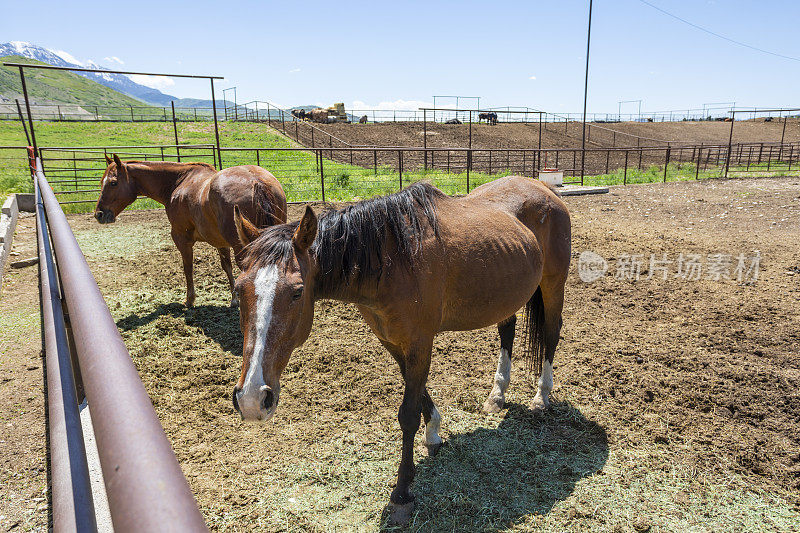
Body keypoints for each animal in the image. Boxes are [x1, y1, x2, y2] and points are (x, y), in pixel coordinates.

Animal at [94, 154, 288, 306]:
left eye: (113, 183)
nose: (99, 214)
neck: (178, 182)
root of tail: (257, 181)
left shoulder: (181, 238)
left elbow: (187, 267)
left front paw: (190, 299)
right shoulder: (220, 241)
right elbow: (226, 266)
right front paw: (234, 299)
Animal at [228, 177, 572, 520]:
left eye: (298, 292)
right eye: (239, 289)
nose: (252, 399)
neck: (393, 261)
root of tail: (544, 189)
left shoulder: (420, 342)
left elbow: (407, 413)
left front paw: (402, 492)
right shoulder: (392, 341)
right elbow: (417, 394)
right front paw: (434, 433)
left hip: (553, 284)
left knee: (551, 334)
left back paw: (541, 396)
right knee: (507, 331)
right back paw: (497, 395)